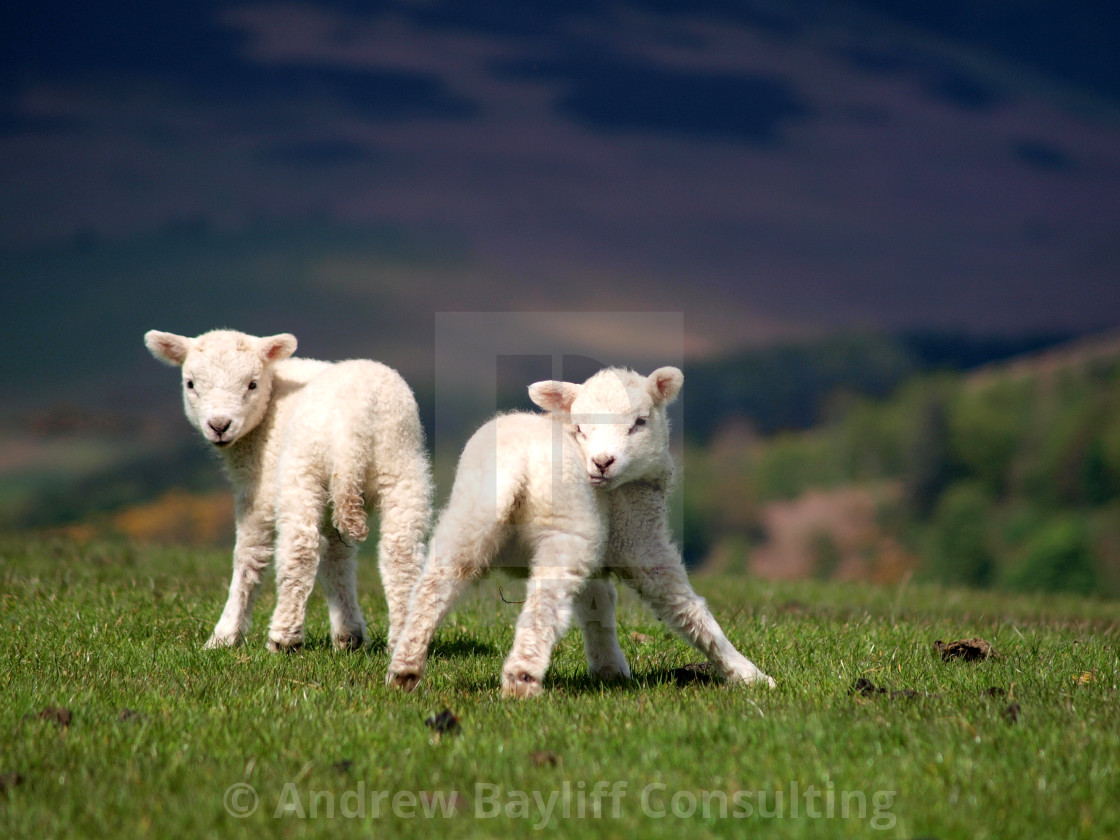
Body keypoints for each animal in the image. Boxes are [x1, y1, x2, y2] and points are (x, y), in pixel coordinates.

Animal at [142, 331, 430, 654]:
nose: (219, 425)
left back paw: (283, 637)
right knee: (401, 553)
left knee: (300, 548)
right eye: (191, 384)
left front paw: (223, 637)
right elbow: (337, 559)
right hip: (401, 466)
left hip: (302, 469)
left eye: (252, 384)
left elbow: (249, 555)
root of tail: (358, 421)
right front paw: (348, 634)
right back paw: (402, 640)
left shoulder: (259, 490)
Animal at [385, 365, 770, 698]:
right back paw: (522, 679)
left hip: (469, 515)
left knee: (434, 586)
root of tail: (515, 464)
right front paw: (746, 673)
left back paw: (405, 668)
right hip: (566, 528)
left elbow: (598, 602)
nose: (602, 463)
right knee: (544, 602)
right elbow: (683, 605)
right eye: (581, 427)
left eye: (639, 423)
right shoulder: (637, 536)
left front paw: (609, 668)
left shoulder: (598, 543)